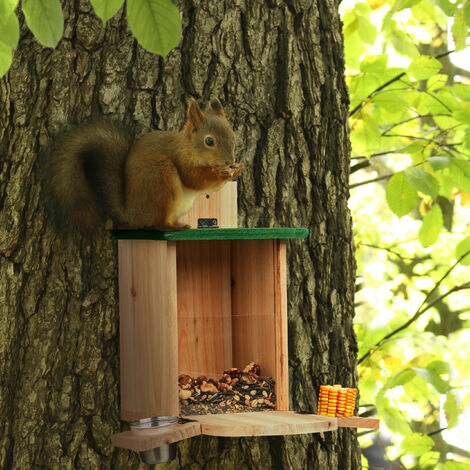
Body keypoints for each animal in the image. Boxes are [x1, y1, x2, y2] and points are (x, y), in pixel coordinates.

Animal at [42, 98, 244, 230]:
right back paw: (175, 227)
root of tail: (132, 215)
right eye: (209, 141)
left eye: (233, 135)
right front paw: (222, 173)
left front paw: (238, 169)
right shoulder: (180, 158)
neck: (188, 147)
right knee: (158, 224)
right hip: (159, 177)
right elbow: (194, 179)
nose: (230, 161)